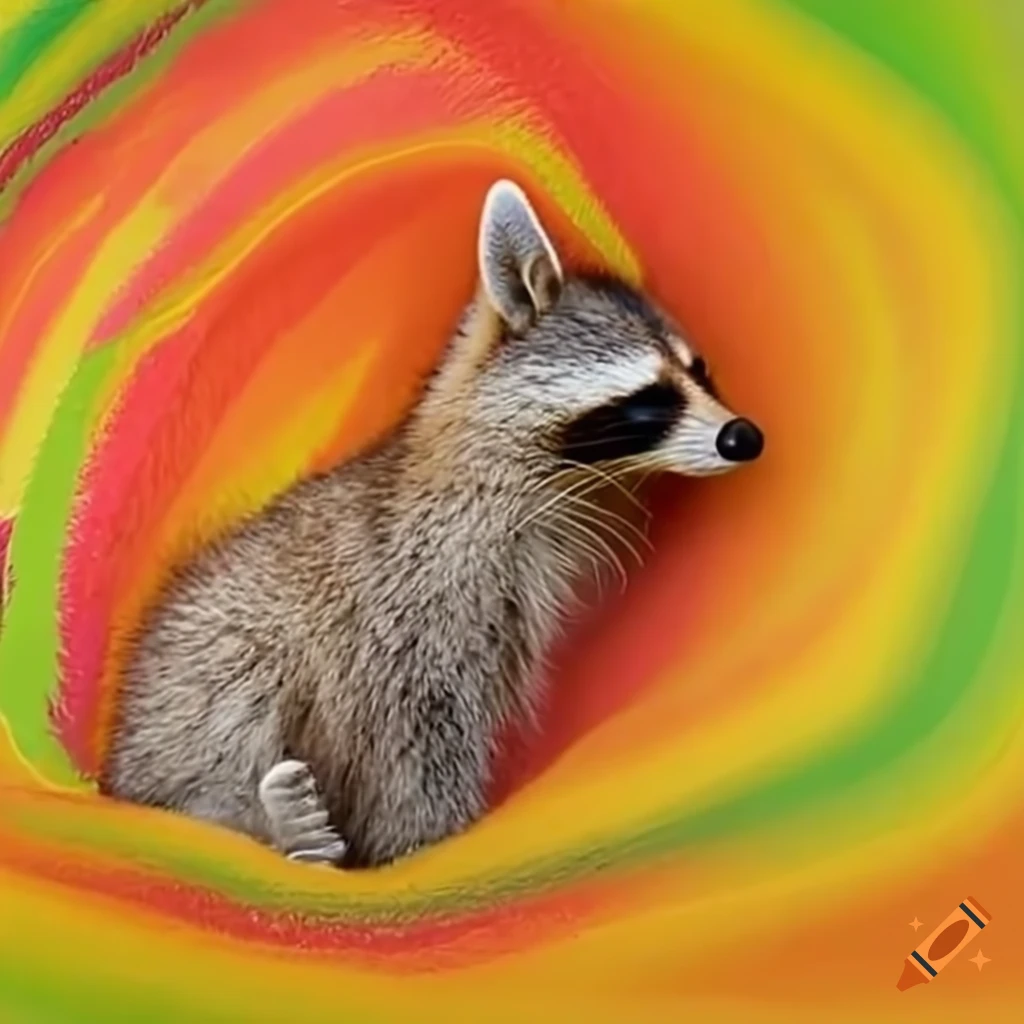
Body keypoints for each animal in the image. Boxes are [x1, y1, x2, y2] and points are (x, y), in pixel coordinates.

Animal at [100, 180, 763, 868]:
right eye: (650, 399)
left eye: (700, 371)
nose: (743, 436)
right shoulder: (419, 606)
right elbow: (416, 747)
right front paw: (430, 847)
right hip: (198, 681)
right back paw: (276, 827)